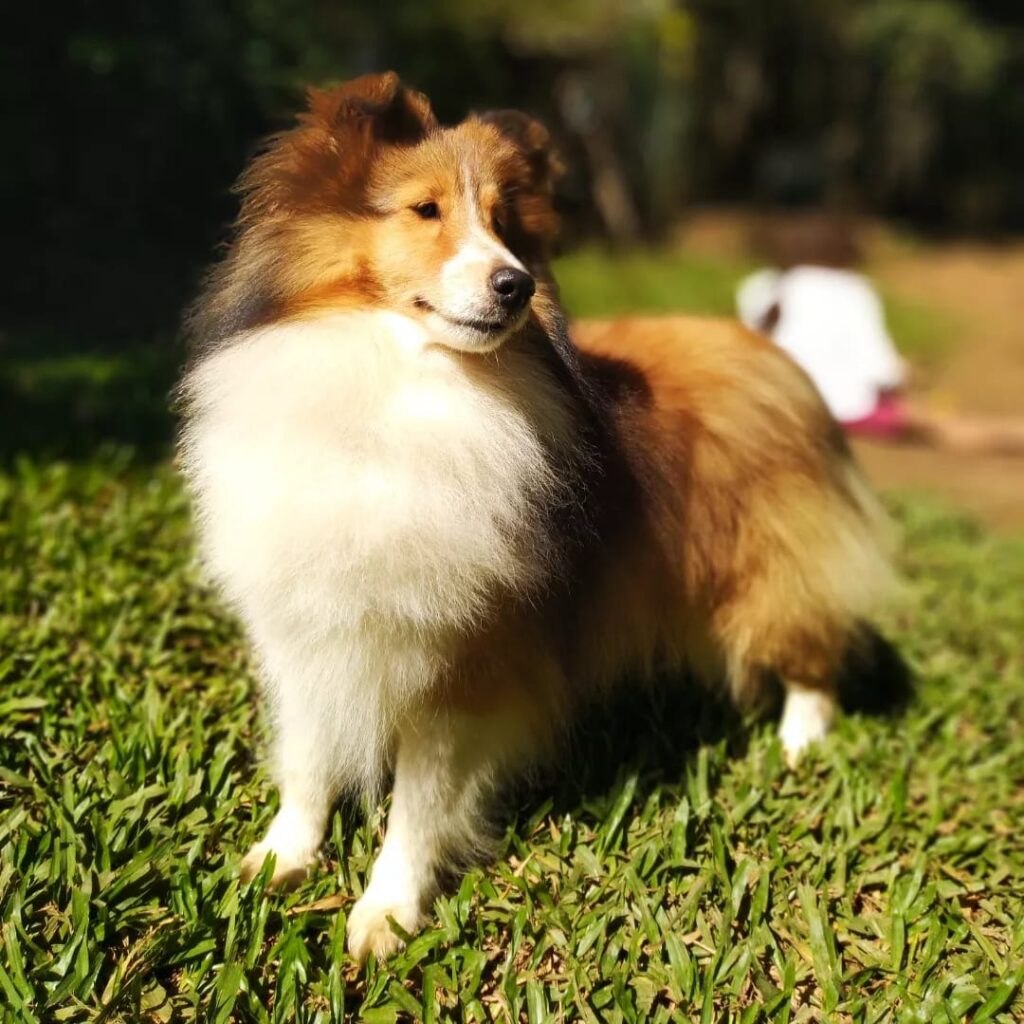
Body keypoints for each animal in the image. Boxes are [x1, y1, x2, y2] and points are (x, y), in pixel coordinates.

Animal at [178, 72, 897, 958]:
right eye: (424, 210)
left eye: (506, 225)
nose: (514, 284)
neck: (404, 382)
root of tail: (778, 357)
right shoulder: (307, 630)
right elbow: (308, 761)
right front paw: (280, 860)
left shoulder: (466, 660)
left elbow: (419, 803)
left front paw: (387, 911)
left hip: (764, 569)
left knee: (810, 651)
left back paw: (800, 744)